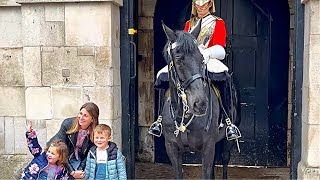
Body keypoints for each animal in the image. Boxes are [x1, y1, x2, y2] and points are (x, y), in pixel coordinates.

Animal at [160, 21, 240, 179]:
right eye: (178, 59)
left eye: (202, 60)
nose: (200, 104)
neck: (184, 117)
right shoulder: (172, 148)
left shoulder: (208, 148)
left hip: (227, 142)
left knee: (225, 159)